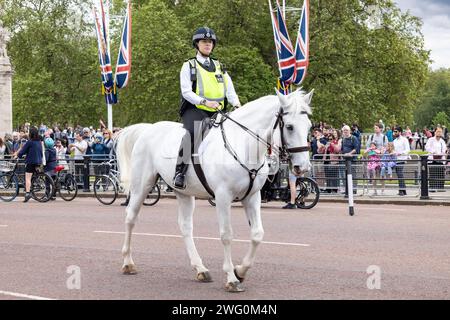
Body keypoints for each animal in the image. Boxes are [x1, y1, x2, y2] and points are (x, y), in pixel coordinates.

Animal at [116, 89, 312, 292]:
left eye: (309, 127)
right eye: (289, 127)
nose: (303, 167)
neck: (242, 145)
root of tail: (148, 129)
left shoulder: (252, 196)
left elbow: (257, 234)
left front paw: (240, 271)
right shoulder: (223, 197)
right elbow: (226, 235)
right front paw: (232, 278)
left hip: (184, 194)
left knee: (185, 226)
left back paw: (200, 268)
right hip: (142, 186)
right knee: (131, 218)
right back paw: (128, 263)